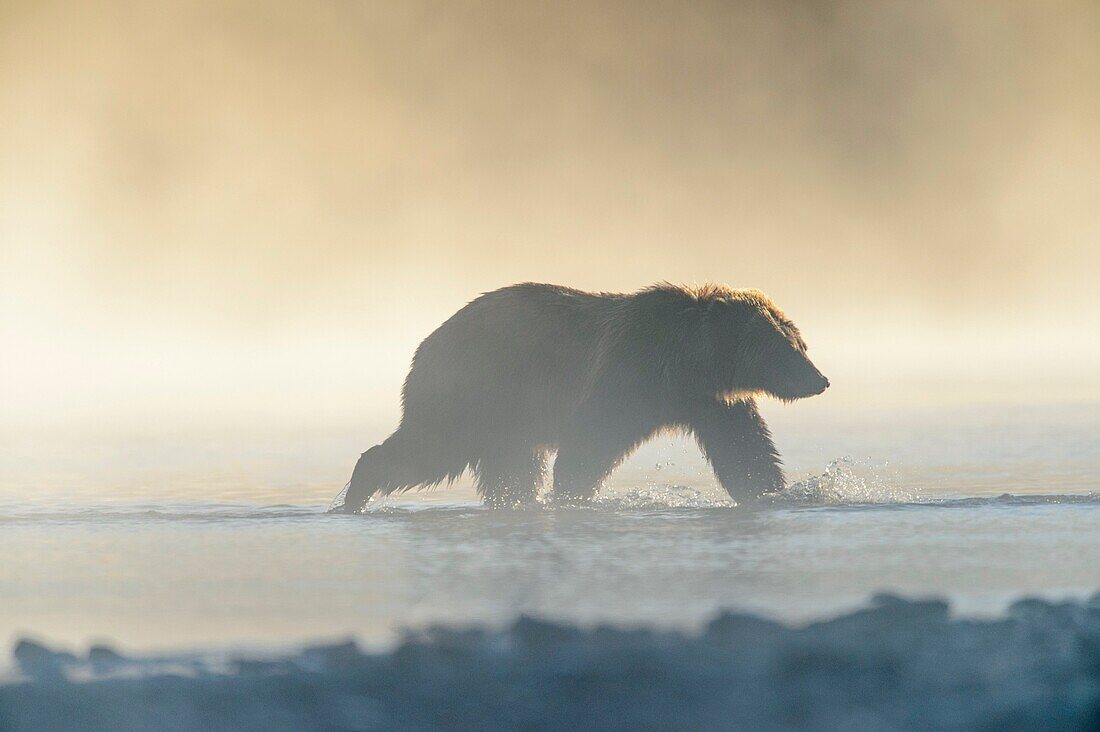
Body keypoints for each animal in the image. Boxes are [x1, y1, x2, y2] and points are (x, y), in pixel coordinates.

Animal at [334, 281, 827, 510]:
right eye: (788, 349)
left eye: (801, 343)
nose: (820, 380)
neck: (690, 362)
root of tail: (426, 343)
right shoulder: (627, 377)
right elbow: (590, 443)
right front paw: (572, 493)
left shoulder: (711, 402)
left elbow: (746, 449)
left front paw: (773, 490)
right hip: (474, 393)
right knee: (429, 449)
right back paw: (357, 492)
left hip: (509, 421)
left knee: (510, 468)